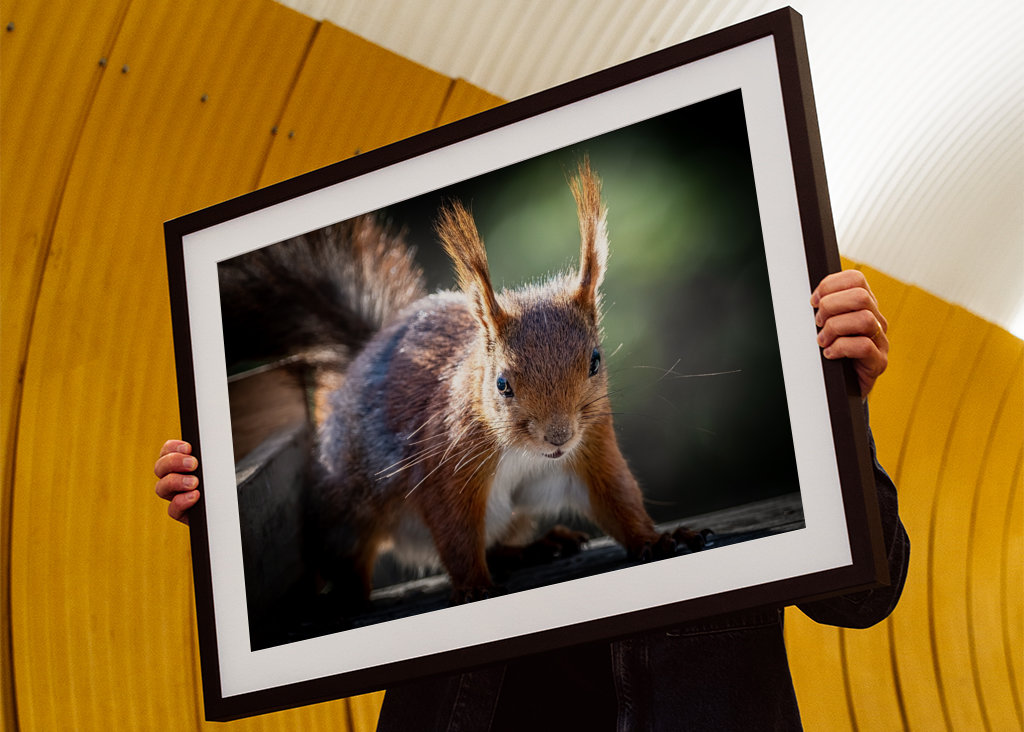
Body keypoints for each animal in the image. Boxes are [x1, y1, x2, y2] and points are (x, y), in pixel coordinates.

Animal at [220, 159, 703, 606]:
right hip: (348, 506)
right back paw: (348, 597)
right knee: (348, 556)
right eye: (502, 383)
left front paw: (656, 539)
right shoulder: (447, 464)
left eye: (595, 362)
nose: (558, 436)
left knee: (502, 540)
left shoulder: (592, 448)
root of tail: (361, 356)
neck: (526, 453)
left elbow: (617, 501)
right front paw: (473, 586)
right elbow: (454, 531)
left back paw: (537, 546)